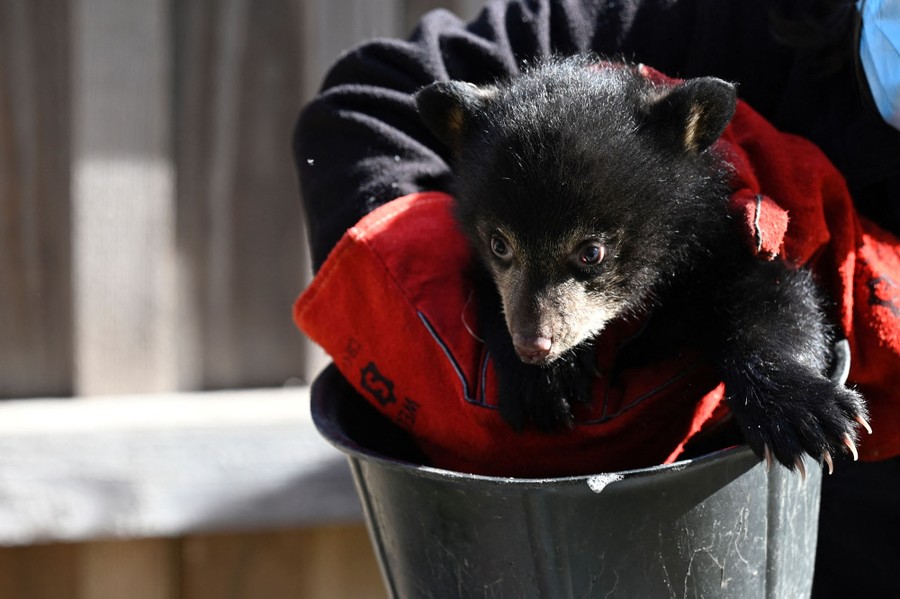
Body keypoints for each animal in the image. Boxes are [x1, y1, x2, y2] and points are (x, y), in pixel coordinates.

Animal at [414, 56, 869, 472]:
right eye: (498, 244)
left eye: (591, 252)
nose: (533, 346)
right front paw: (543, 386)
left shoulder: (740, 231)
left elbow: (779, 298)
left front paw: (808, 415)